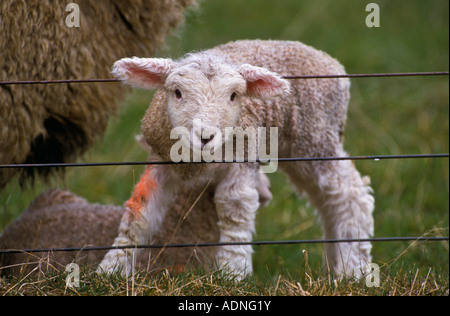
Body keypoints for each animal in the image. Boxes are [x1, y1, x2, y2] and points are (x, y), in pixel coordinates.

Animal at [98, 40, 376, 280]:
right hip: (298, 149)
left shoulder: (242, 160)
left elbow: (234, 209)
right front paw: (112, 269)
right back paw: (335, 267)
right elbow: (140, 214)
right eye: (177, 93)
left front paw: (233, 273)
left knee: (350, 196)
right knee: (327, 202)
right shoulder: (160, 163)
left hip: (317, 139)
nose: (205, 136)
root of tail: (331, 62)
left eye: (233, 96)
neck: (197, 162)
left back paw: (355, 271)